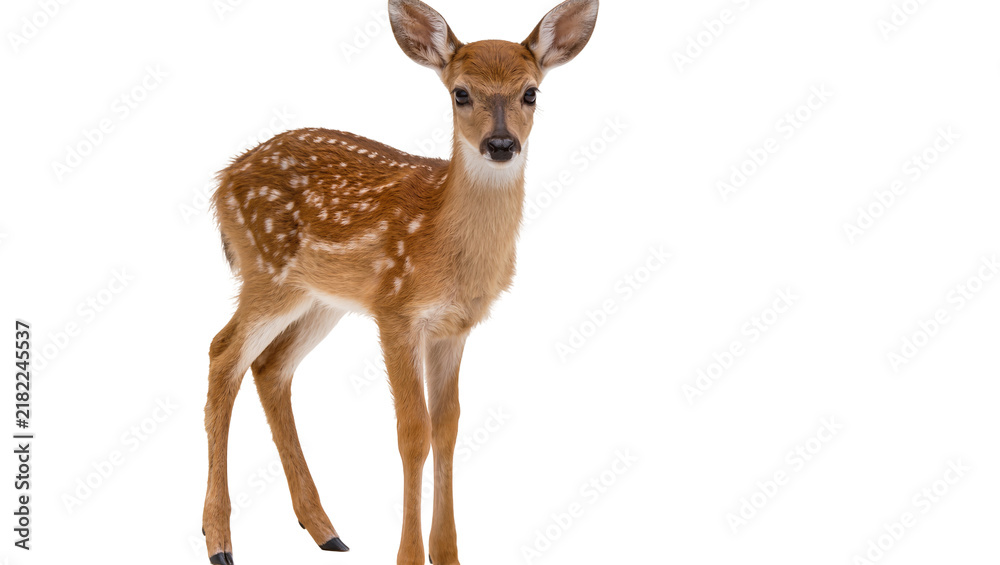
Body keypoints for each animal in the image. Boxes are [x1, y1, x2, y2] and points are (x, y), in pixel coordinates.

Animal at [201, 1, 598, 563]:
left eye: (531, 93)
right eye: (461, 93)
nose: (501, 144)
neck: (440, 239)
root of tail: (223, 181)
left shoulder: (453, 327)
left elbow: (448, 427)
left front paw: (447, 553)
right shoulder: (395, 310)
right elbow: (413, 432)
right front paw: (409, 555)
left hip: (321, 298)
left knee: (270, 366)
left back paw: (324, 529)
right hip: (267, 272)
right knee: (223, 354)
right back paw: (220, 540)